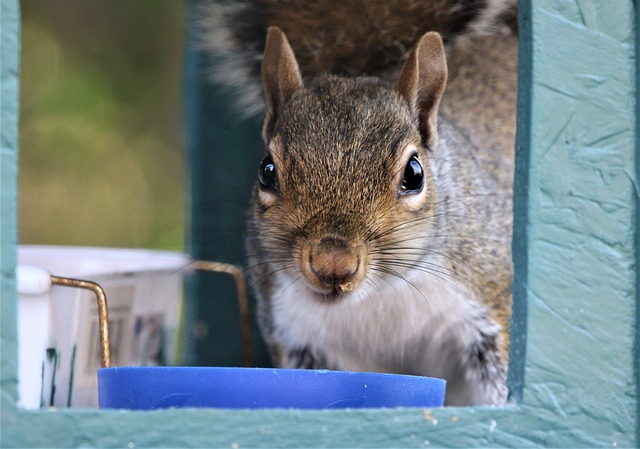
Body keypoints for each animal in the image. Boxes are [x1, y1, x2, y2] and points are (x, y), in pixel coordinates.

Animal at [200, 0, 520, 406]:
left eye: (414, 174)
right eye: (266, 171)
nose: (332, 264)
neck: (379, 294)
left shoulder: (492, 295)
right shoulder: (302, 337)